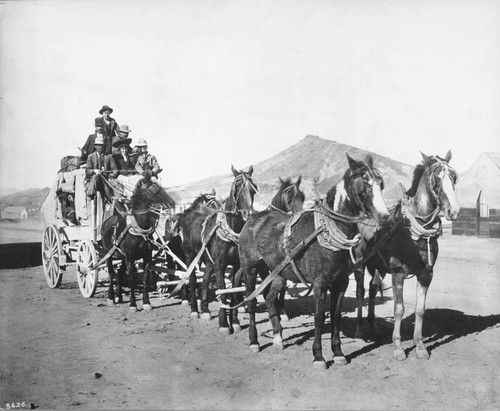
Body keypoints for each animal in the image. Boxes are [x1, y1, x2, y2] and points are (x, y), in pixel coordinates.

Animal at [101, 175, 176, 314]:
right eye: (155, 190)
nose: (171, 203)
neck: (139, 230)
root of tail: (107, 221)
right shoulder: (130, 258)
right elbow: (131, 280)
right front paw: (133, 304)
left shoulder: (146, 258)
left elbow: (145, 279)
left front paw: (146, 303)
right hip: (108, 254)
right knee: (111, 273)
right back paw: (111, 298)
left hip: (122, 257)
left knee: (119, 273)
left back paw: (119, 296)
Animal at [178, 166, 258, 334]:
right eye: (237, 186)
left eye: (254, 188)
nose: (248, 214)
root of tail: (188, 213)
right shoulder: (220, 265)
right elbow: (222, 292)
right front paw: (223, 324)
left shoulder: (237, 266)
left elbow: (234, 292)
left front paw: (234, 321)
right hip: (190, 255)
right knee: (193, 279)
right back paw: (194, 310)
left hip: (209, 261)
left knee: (205, 279)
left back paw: (205, 310)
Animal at [233, 154, 390, 370]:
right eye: (364, 183)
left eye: (381, 183)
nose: (385, 218)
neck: (328, 230)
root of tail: (253, 217)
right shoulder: (319, 283)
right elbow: (319, 316)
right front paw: (318, 356)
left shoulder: (341, 282)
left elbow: (335, 315)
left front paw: (338, 352)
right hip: (250, 269)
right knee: (251, 301)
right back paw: (254, 340)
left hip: (276, 272)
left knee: (270, 298)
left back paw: (278, 337)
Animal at [354, 151, 458, 360]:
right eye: (437, 179)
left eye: (454, 177)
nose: (454, 210)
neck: (414, 232)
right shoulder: (398, 273)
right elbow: (399, 309)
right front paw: (398, 347)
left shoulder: (426, 274)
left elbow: (420, 310)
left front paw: (420, 346)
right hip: (360, 265)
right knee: (361, 291)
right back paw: (360, 328)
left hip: (379, 267)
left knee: (373, 288)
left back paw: (372, 324)